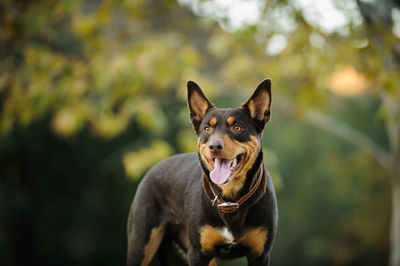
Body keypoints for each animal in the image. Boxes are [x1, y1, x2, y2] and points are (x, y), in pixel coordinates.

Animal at [127, 79, 278, 266]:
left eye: (237, 128)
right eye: (207, 129)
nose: (215, 146)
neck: (230, 200)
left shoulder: (259, 255)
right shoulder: (197, 254)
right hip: (141, 244)